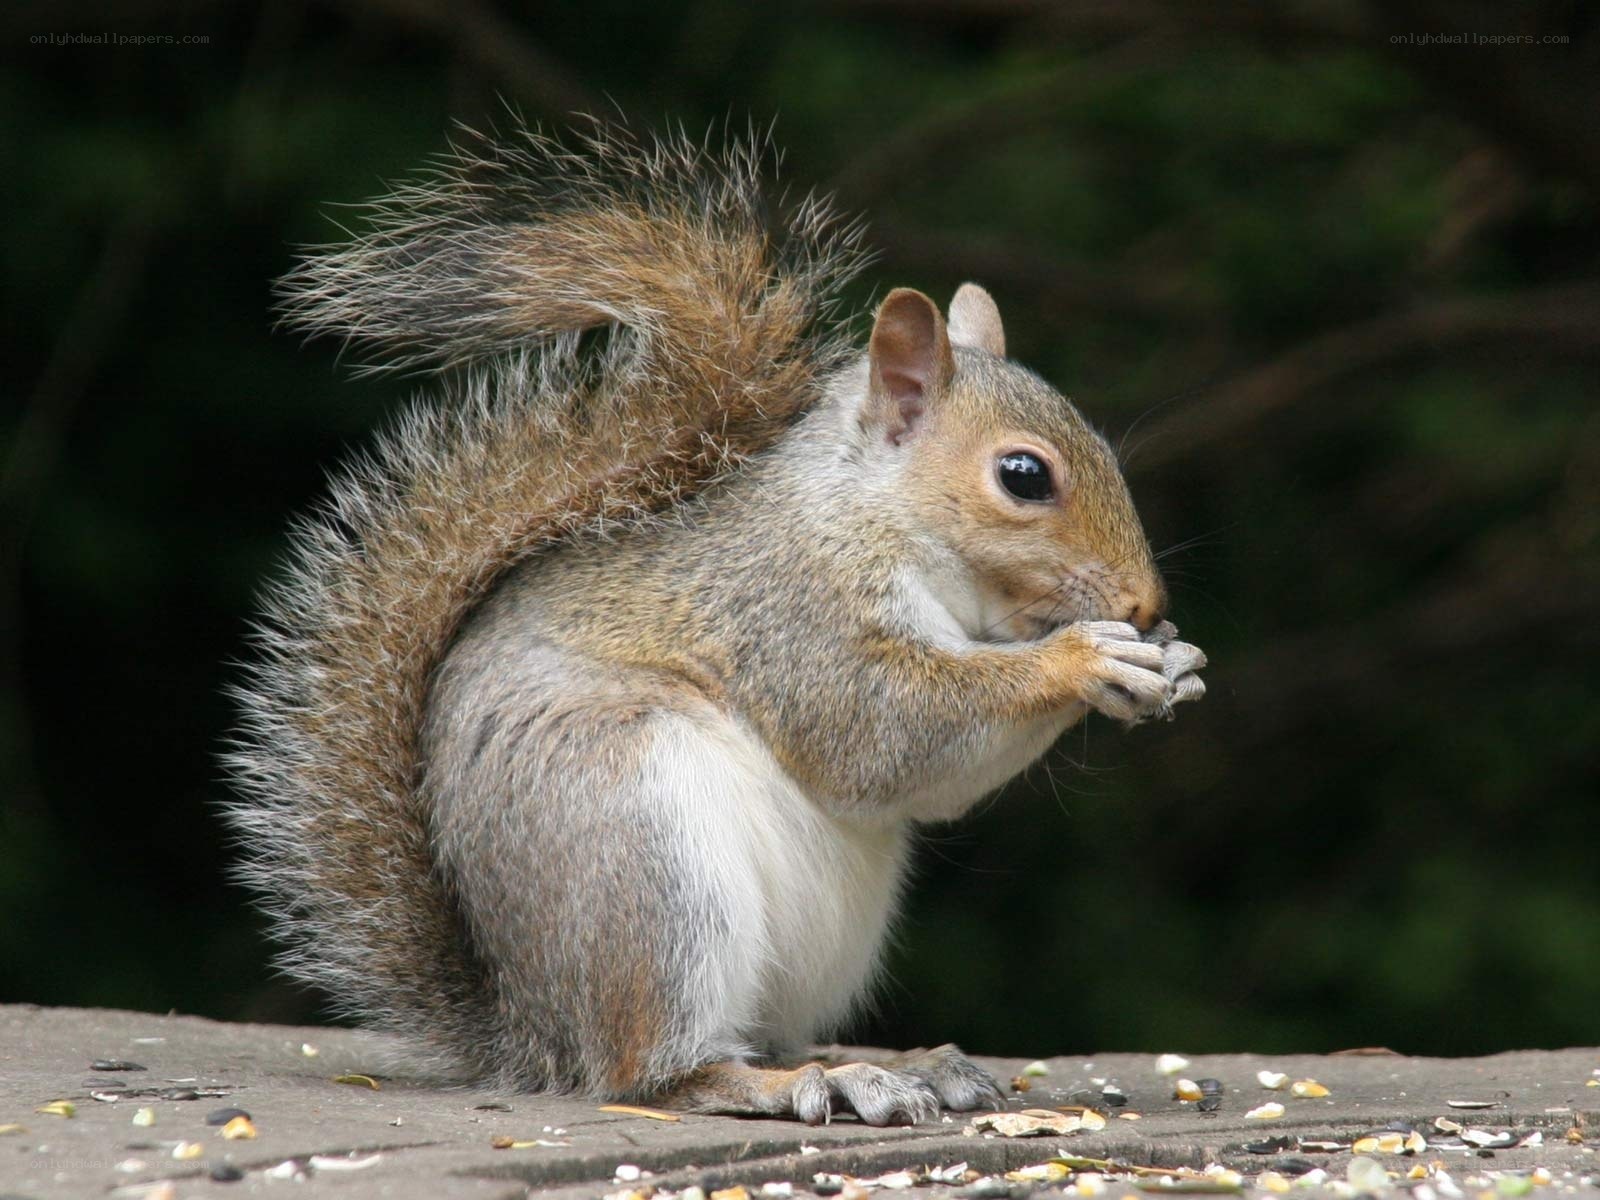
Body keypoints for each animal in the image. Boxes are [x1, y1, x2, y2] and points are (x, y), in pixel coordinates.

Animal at [225, 120, 1207, 1126]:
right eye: (1023, 476)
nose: (1145, 606)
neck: (871, 512)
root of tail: (534, 1028)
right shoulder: (792, 610)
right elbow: (886, 732)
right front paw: (1085, 660)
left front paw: (1171, 664)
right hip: (645, 853)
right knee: (657, 1069)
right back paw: (793, 1082)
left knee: (765, 1030)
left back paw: (897, 1064)